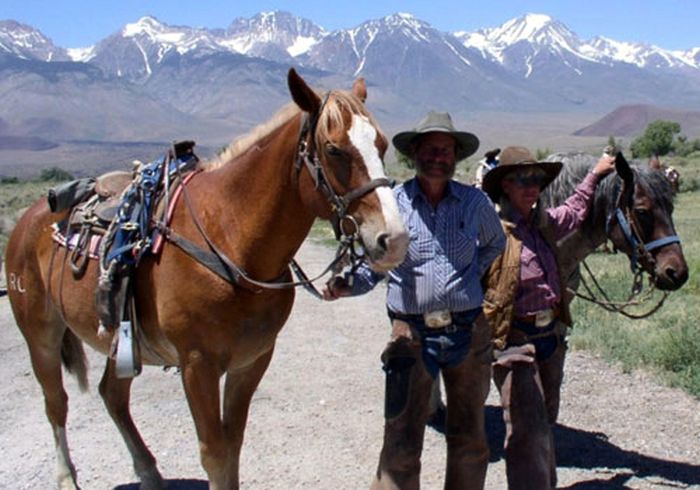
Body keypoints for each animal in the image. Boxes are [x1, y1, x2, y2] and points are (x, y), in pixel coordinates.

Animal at [4, 70, 410, 490]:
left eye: (381, 144)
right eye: (333, 150)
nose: (394, 238)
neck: (231, 239)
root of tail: (29, 219)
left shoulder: (253, 359)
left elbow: (233, 445)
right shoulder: (198, 365)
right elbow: (214, 453)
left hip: (122, 343)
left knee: (112, 395)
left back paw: (149, 473)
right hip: (41, 336)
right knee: (56, 404)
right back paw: (67, 477)